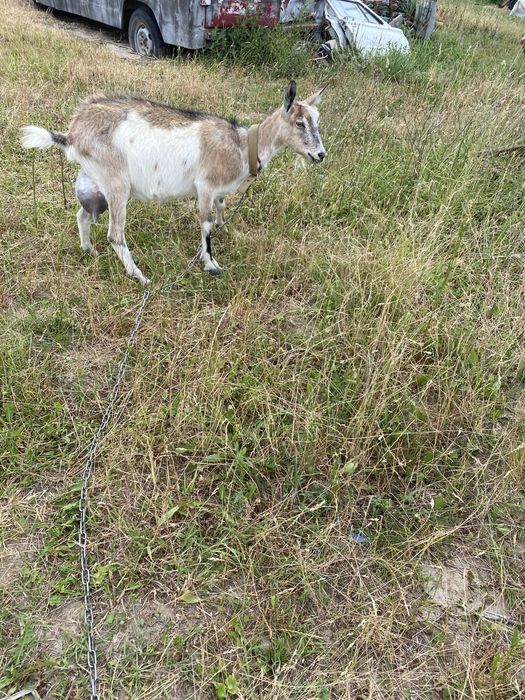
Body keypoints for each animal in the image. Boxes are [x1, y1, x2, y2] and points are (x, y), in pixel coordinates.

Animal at [21, 81, 325, 285]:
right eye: (300, 123)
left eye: (317, 120)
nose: (321, 155)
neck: (241, 145)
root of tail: (71, 133)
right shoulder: (205, 186)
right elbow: (205, 224)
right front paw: (211, 264)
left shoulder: (218, 191)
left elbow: (221, 210)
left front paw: (222, 235)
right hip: (117, 183)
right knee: (115, 234)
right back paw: (140, 276)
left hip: (95, 182)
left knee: (83, 214)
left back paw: (89, 250)